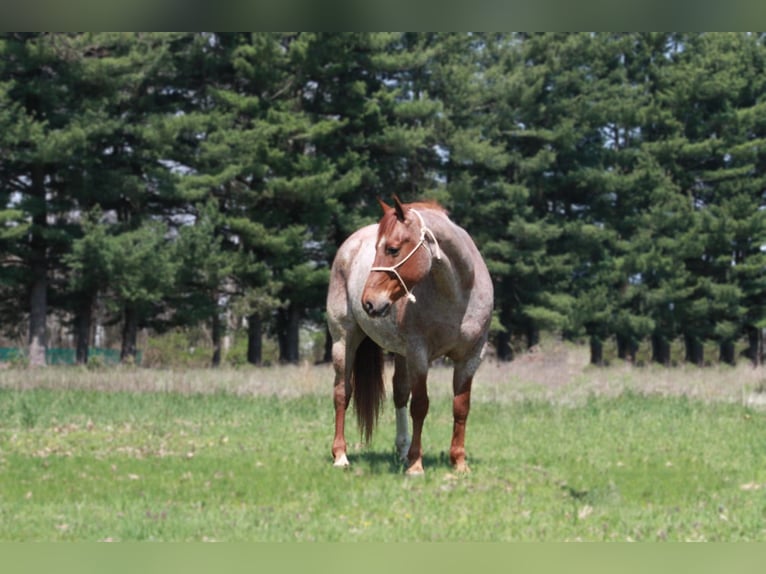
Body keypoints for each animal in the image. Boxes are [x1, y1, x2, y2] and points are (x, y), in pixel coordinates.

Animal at [328, 198, 496, 476]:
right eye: (378, 248)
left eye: (393, 249)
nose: (368, 303)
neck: (458, 294)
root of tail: (348, 246)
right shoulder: (419, 354)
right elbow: (420, 405)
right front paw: (416, 465)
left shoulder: (471, 357)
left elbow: (461, 406)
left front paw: (459, 462)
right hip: (344, 341)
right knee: (342, 393)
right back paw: (341, 456)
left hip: (400, 353)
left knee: (399, 393)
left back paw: (402, 450)